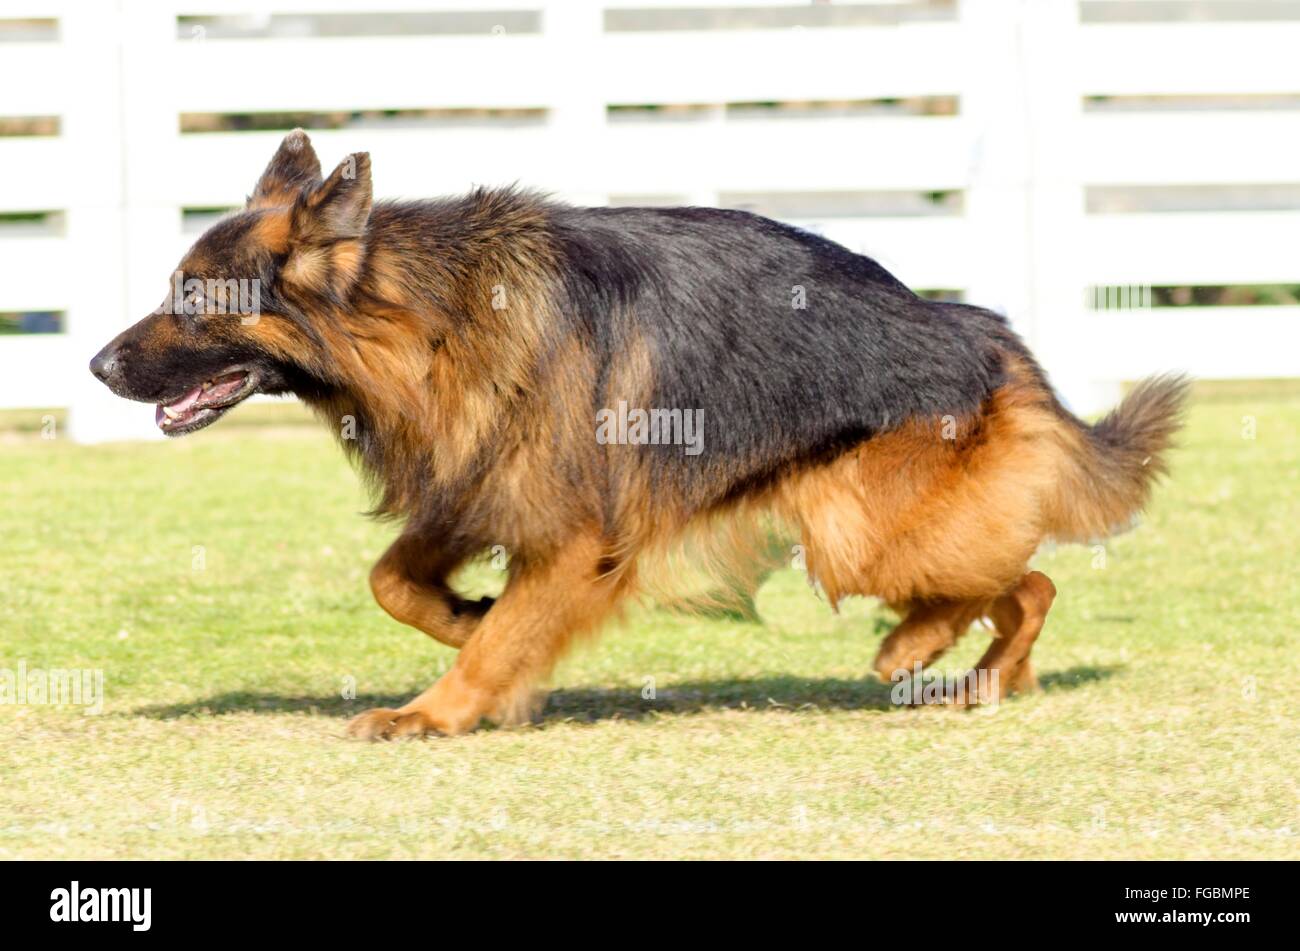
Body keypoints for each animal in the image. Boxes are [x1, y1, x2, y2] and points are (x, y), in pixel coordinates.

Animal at [91, 129, 1190, 737]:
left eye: (193, 298)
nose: (96, 366)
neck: (429, 319)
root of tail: (981, 328)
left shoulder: (570, 526)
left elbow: (494, 634)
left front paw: (434, 711)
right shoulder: (480, 481)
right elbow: (397, 581)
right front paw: (472, 620)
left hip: (854, 522)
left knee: (1025, 580)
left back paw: (926, 648)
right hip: (878, 523)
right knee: (1017, 580)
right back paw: (975, 670)